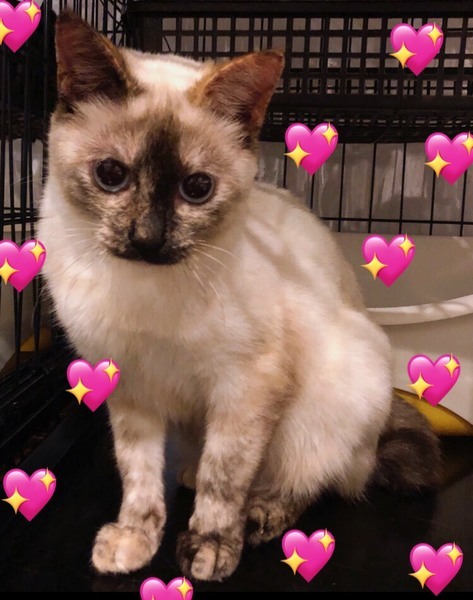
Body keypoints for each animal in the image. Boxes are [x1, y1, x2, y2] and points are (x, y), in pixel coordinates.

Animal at [38, 10, 441, 582]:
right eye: (111, 175)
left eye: (197, 189)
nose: (147, 239)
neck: (145, 292)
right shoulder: (131, 389)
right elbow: (139, 478)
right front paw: (135, 541)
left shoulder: (245, 389)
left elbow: (223, 479)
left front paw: (209, 548)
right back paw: (187, 473)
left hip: (325, 408)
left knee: (313, 481)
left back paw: (259, 516)